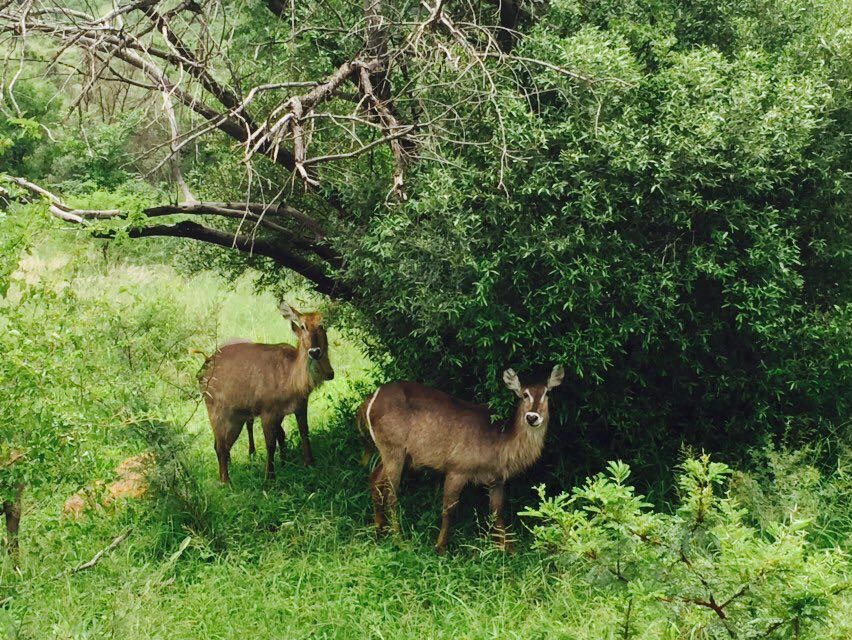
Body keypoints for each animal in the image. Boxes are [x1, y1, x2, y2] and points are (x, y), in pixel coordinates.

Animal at [199, 302, 332, 482]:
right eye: (303, 326)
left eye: (321, 325)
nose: (315, 351)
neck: (292, 380)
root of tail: (201, 372)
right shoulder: (267, 411)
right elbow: (270, 443)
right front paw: (270, 477)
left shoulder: (299, 406)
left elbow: (303, 432)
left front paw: (309, 463)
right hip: (215, 410)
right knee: (220, 446)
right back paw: (226, 482)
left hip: (237, 417)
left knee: (223, 445)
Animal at [356, 364, 564, 552]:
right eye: (524, 394)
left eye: (546, 393)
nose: (532, 417)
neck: (501, 439)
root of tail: (370, 400)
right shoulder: (457, 470)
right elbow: (449, 509)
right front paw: (440, 547)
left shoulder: (496, 480)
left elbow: (497, 513)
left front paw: (508, 550)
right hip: (394, 450)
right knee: (391, 493)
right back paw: (399, 540)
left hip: (396, 454)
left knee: (375, 480)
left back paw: (378, 531)